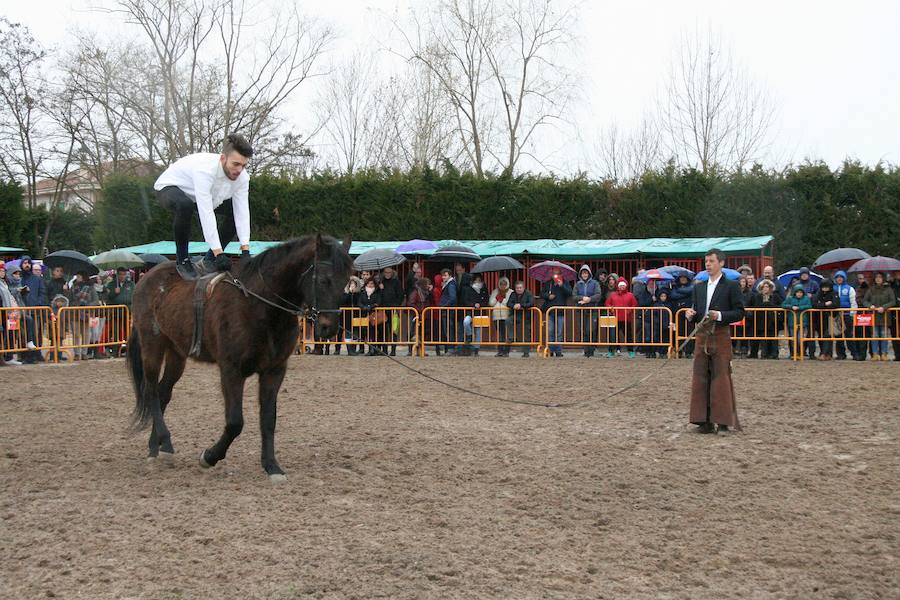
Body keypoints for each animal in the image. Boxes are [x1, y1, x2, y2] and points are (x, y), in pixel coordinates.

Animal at [128, 234, 354, 482]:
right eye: (323, 280)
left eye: (346, 281)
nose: (328, 328)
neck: (260, 305)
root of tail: (146, 278)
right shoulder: (231, 371)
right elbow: (235, 422)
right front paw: (209, 456)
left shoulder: (274, 371)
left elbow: (268, 419)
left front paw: (272, 466)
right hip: (152, 346)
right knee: (151, 391)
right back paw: (165, 440)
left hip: (176, 353)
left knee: (162, 393)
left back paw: (156, 447)